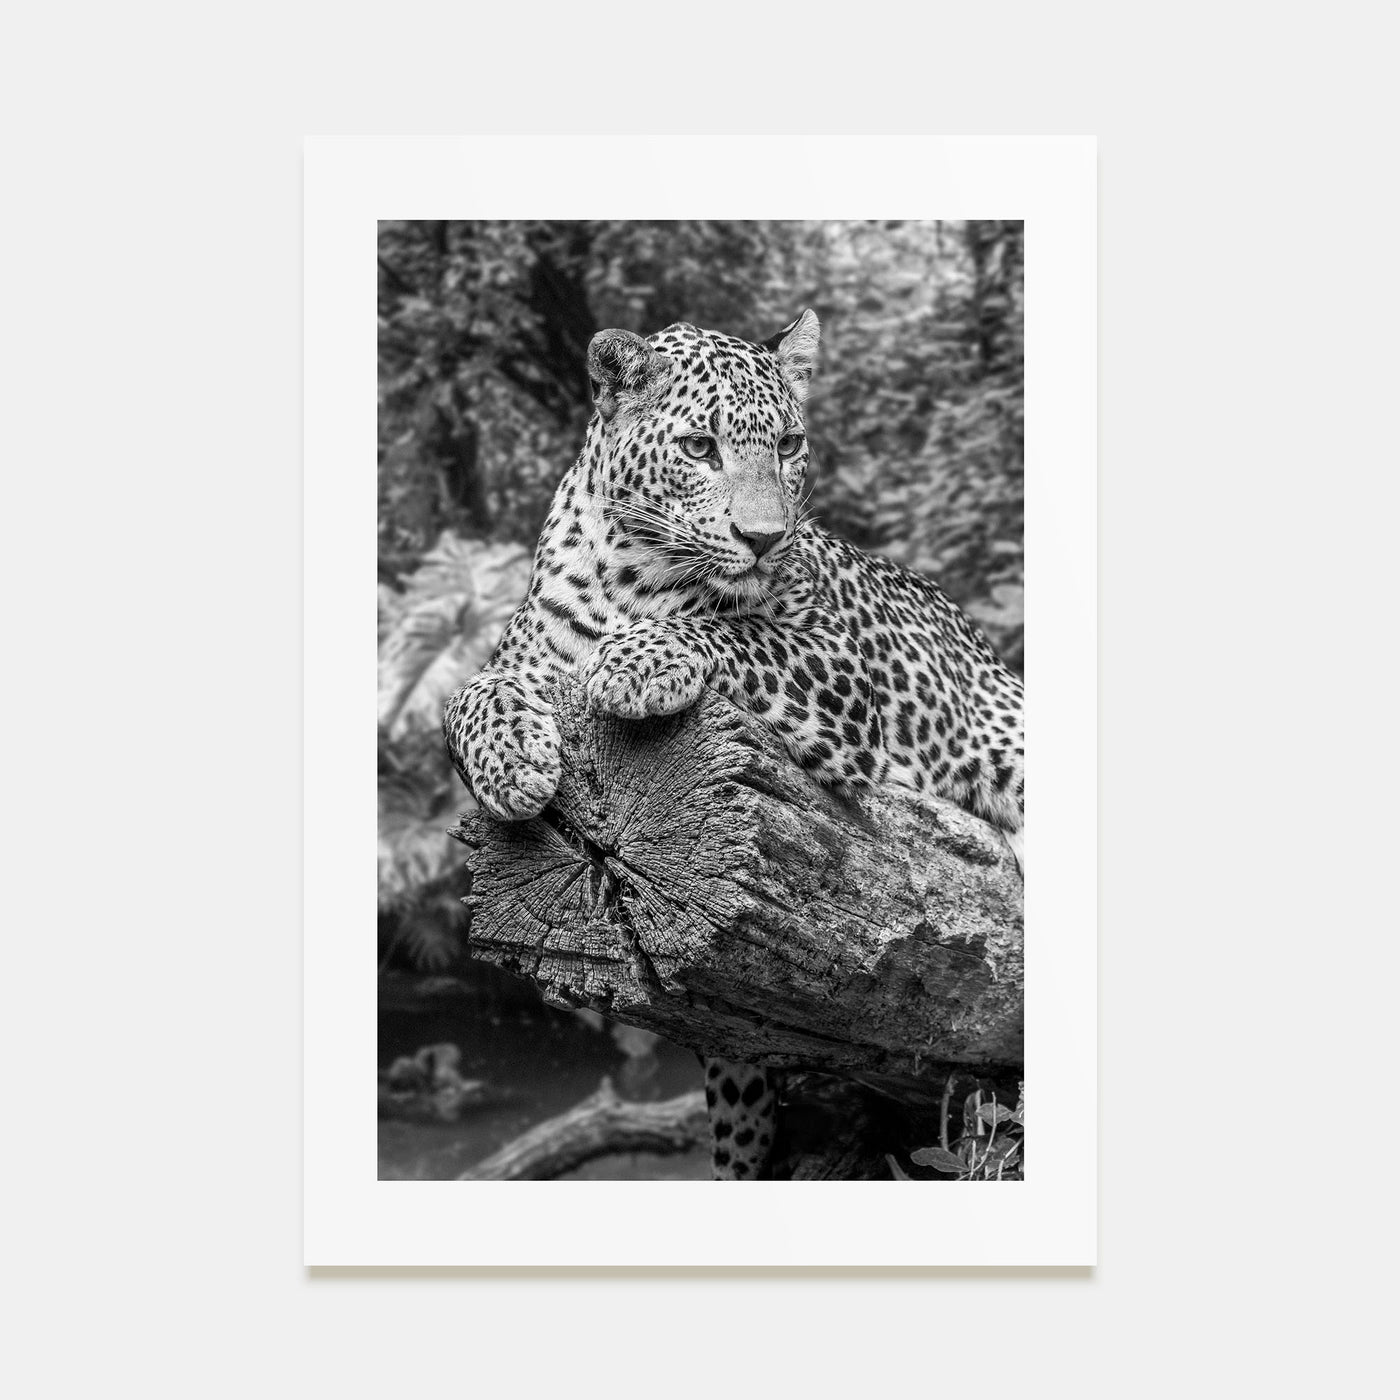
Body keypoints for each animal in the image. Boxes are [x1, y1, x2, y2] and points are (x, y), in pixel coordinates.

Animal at [444, 310, 1024, 1180]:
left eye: (788, 444)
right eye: (698, 448)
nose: (764, 538)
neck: (634, 577)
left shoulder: (834, 660)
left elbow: (734, 631)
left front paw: (635, 663)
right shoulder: (519, 657)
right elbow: (467, 695)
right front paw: (511, 763)